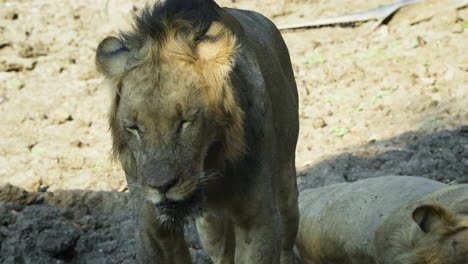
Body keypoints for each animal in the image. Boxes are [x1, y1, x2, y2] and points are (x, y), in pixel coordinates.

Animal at [95, 0, 300, 264]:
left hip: (286, 185)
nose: (161, 187)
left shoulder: (257, 218)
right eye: (134, 128)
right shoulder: (153, 227)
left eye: (185, 122)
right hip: (210, 224)